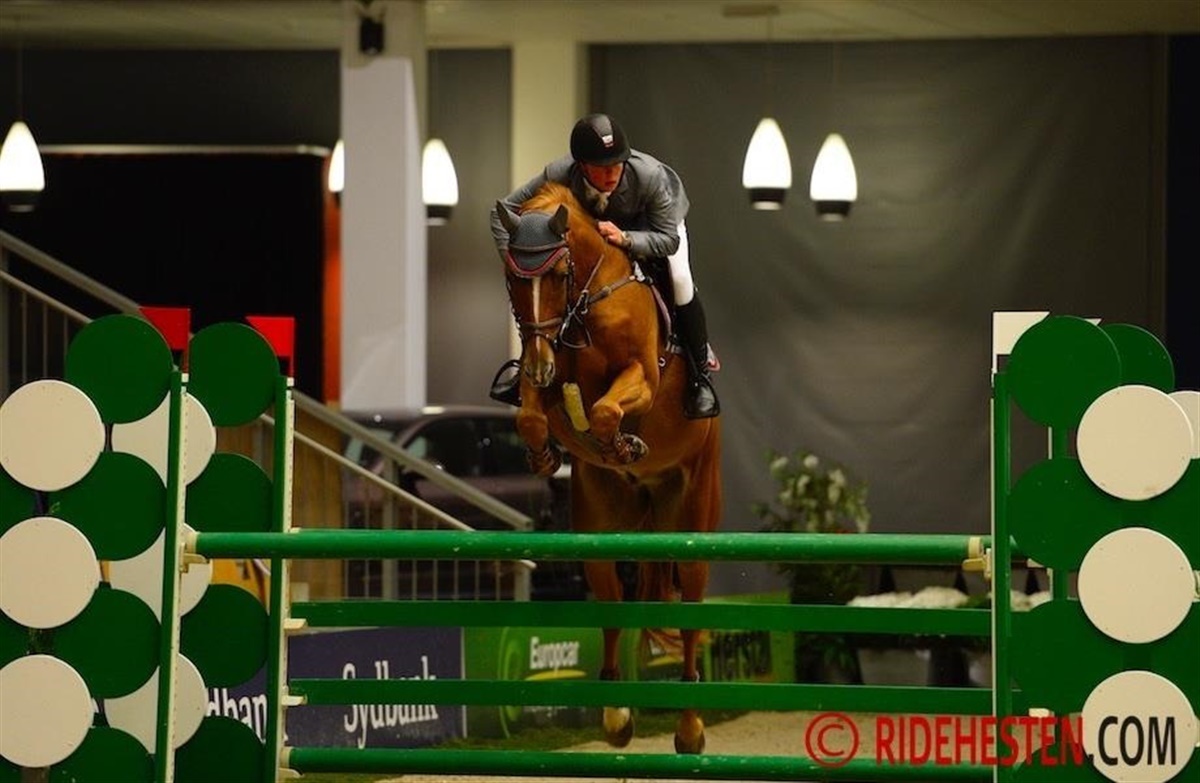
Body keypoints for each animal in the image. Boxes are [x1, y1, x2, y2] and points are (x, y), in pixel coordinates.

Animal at [495, 182, 722, 754]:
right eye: (512, 276)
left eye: (558, 274)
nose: (537, 364)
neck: (585, 303)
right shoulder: (548, 380)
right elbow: (533, 414)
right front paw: (546, 455)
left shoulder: (641, 374)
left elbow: (604, 410)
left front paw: (621, 443)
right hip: (599, 531)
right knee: (614, 607)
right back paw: (617, 715)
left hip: (694, 516)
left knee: (690, 613)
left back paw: (689, 728)